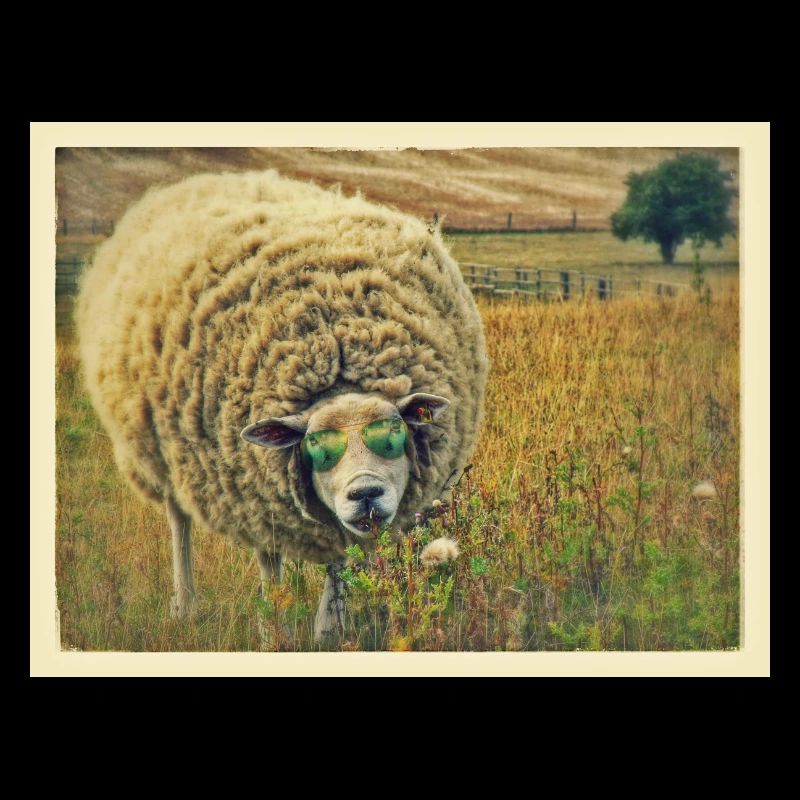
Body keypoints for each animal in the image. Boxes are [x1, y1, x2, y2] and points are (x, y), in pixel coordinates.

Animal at [76, 170, 489, 643]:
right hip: (163, 453)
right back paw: (185, 605)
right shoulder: (254, 496)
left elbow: (339, 559)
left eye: (394, 436)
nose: (366, 493)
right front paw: (272, 630)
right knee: (178, 519)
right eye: (316, 447)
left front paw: (330, 631)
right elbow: (270, 566)